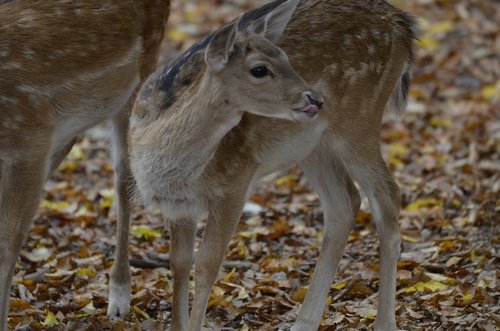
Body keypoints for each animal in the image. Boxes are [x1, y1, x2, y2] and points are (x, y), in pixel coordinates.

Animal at [129, 0, 414, 330]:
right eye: (259, 69)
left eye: (286, 58)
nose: (314, 99)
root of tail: (401, 23)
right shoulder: (177, 205)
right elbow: (179, 263)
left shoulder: (236, 180)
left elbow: (207, 265)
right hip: (312, 144)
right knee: (344, 203)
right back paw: (304, 323)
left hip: (359, 120)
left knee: (388, 196)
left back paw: (384, 323)